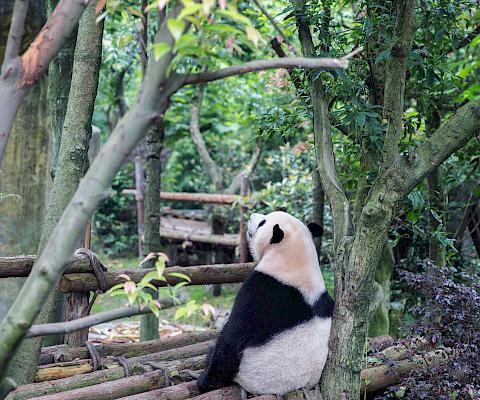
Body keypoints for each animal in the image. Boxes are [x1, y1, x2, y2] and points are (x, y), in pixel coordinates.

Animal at [197, 211, 332, 396]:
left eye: (262, 222)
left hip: (249, 373)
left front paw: (206, 380)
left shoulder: (259, 292)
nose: (251, 215)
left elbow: (233, 337)